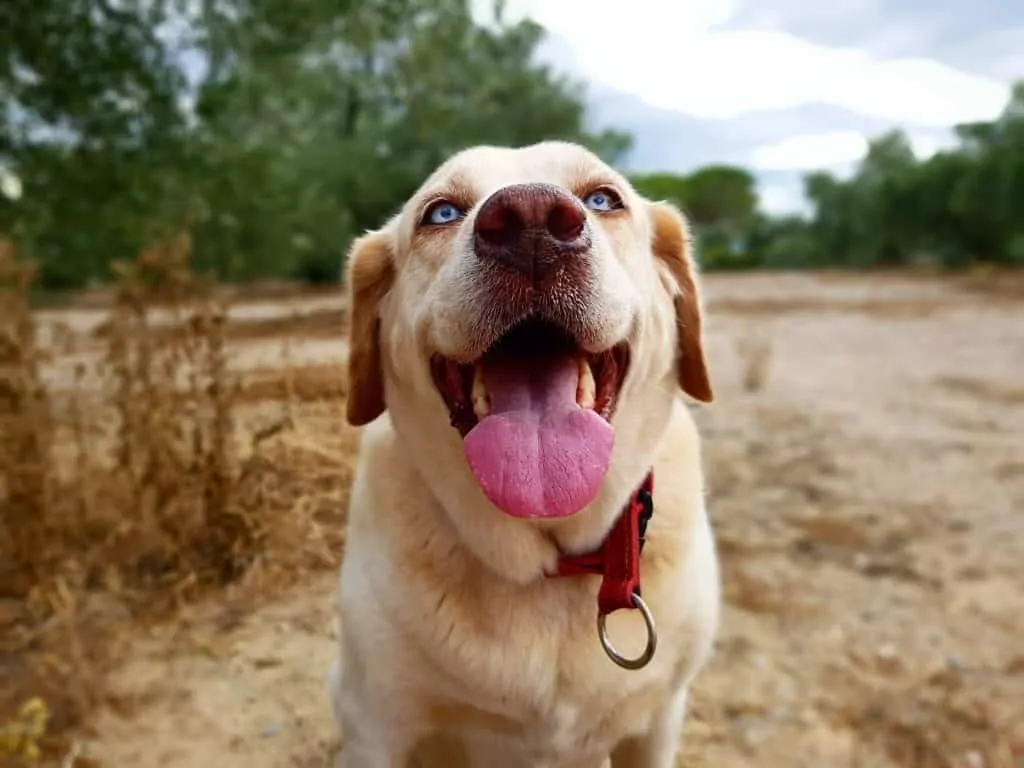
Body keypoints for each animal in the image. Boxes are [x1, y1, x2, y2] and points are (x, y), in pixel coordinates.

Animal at [329, 140, 720, 768]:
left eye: (603, 199)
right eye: (440, 212)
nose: (530, 220)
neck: (549, 561)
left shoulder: (658, 722)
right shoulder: (374, 729)